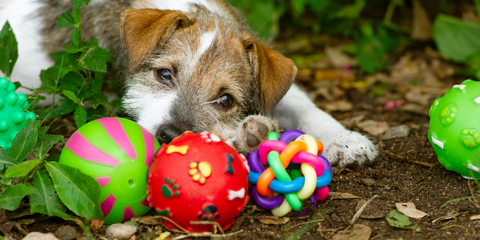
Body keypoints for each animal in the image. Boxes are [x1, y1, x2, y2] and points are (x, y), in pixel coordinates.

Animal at [0, 0, 378, 167]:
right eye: (165, 74)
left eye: (225, 99)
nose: (170, 135)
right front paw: (245, 136)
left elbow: (305, 105)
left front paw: (346, 139)